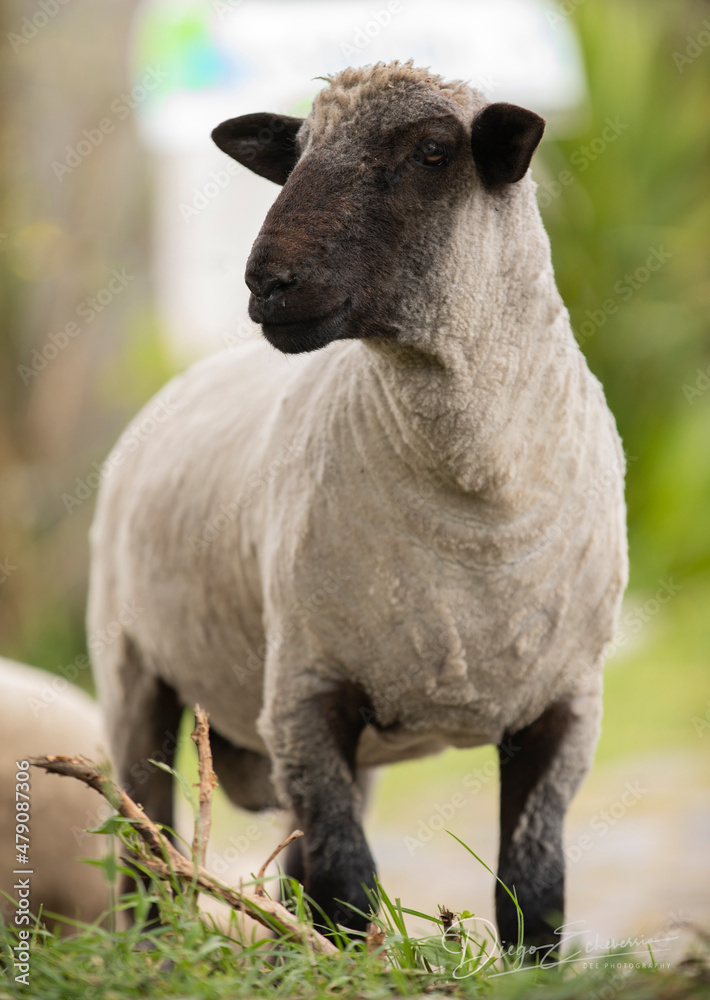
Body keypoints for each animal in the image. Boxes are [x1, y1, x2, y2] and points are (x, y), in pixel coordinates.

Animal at [87, 61, 628, 950]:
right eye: (299, 151)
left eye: (434, 152)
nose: (267, 284)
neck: (474, 507)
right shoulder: (306, 694)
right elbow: (346, 893)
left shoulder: (564, 710)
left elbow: (532, 896)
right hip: (134, 673)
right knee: (147, 857)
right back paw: (149, 953)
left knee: (287, 872)